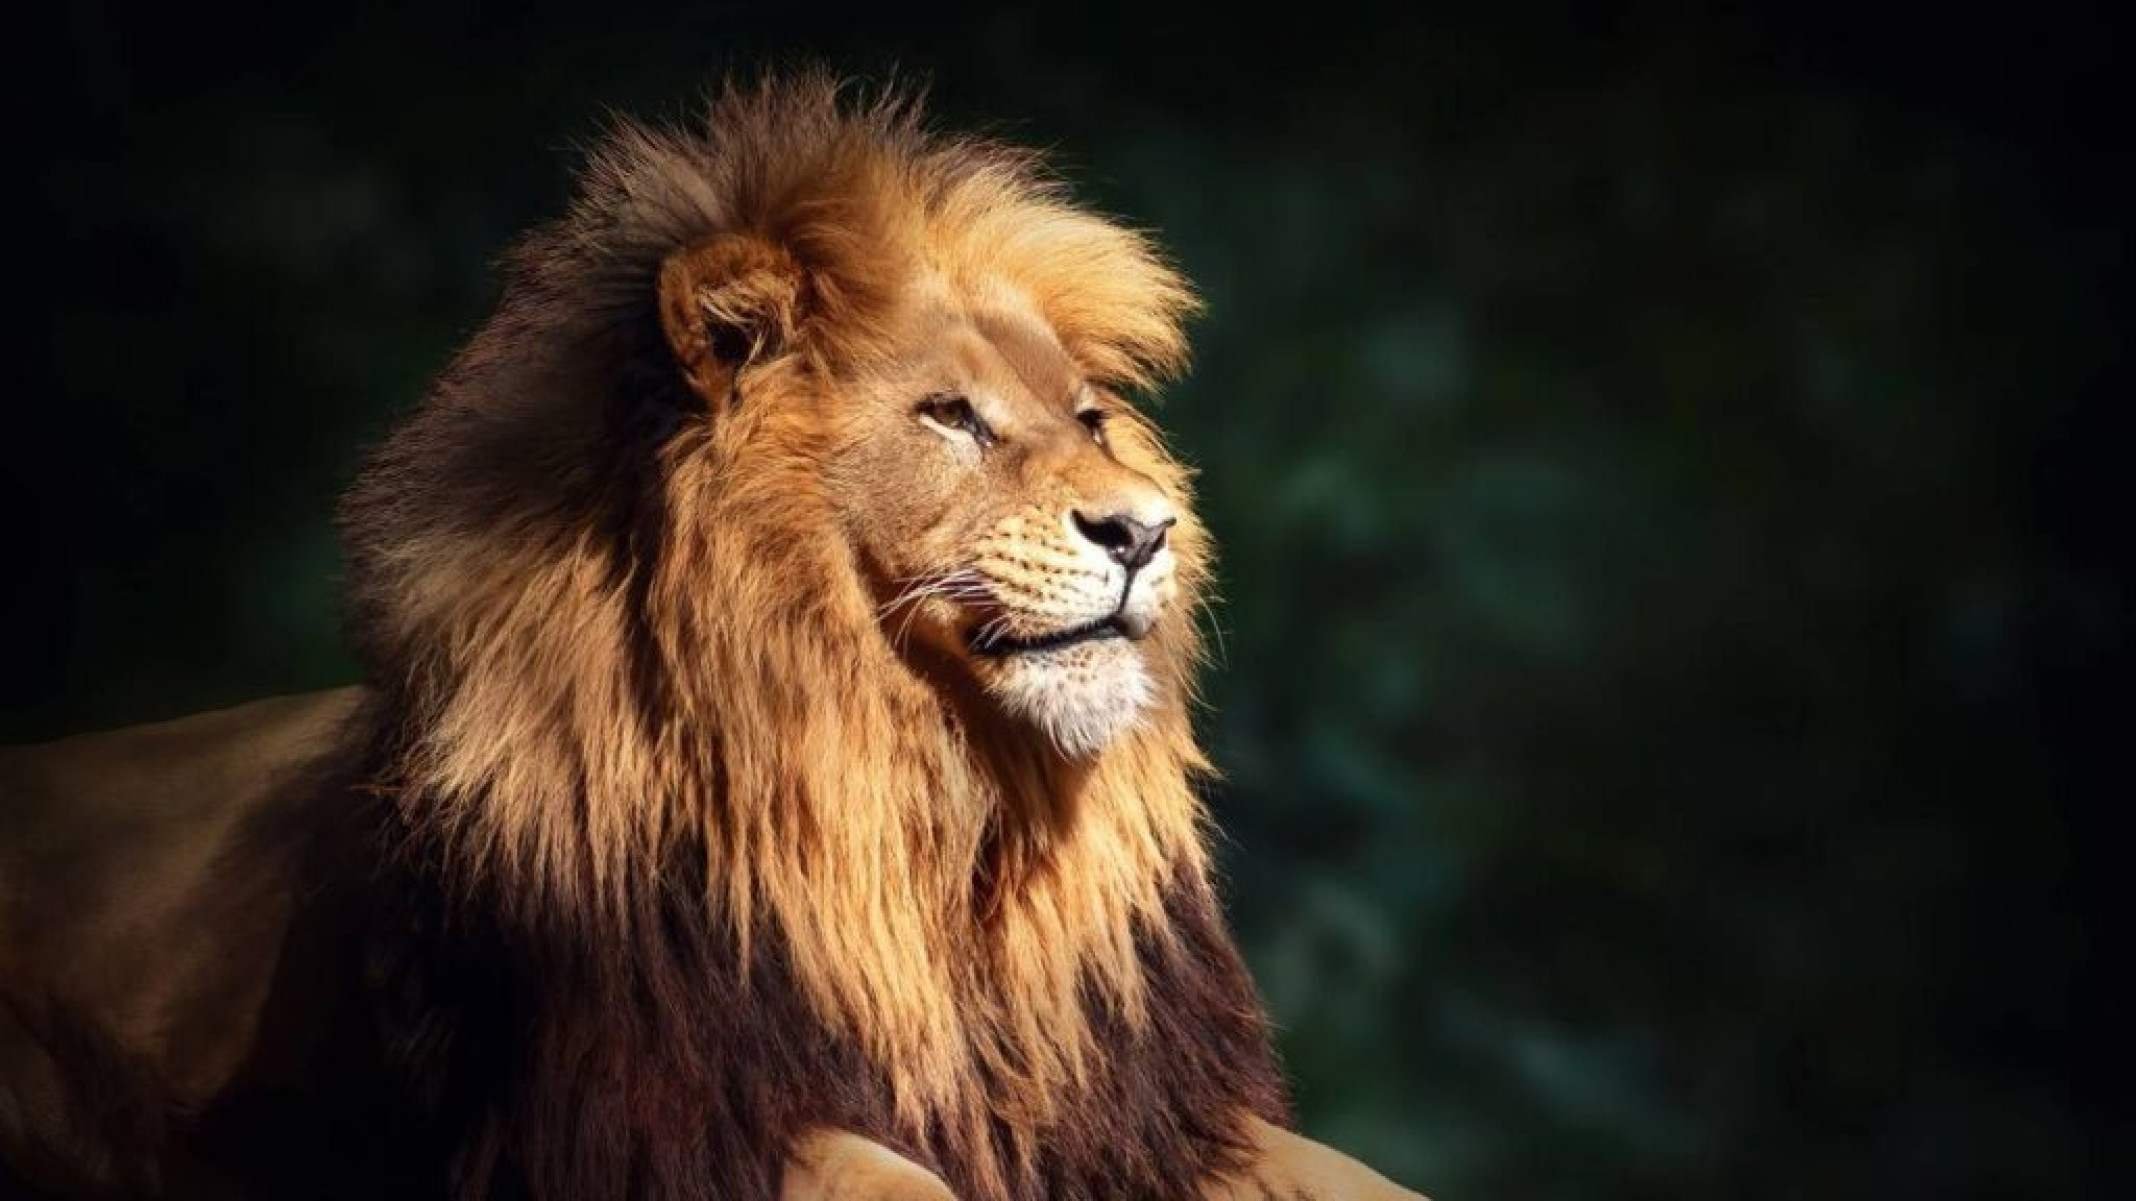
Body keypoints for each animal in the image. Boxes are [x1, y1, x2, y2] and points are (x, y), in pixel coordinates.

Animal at [0, 76, 1423, 1201]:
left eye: (1089, 419)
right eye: (950, 415)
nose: (1146, 530)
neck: (926, 805)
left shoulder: (1135, 1106)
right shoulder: (658, 1116)